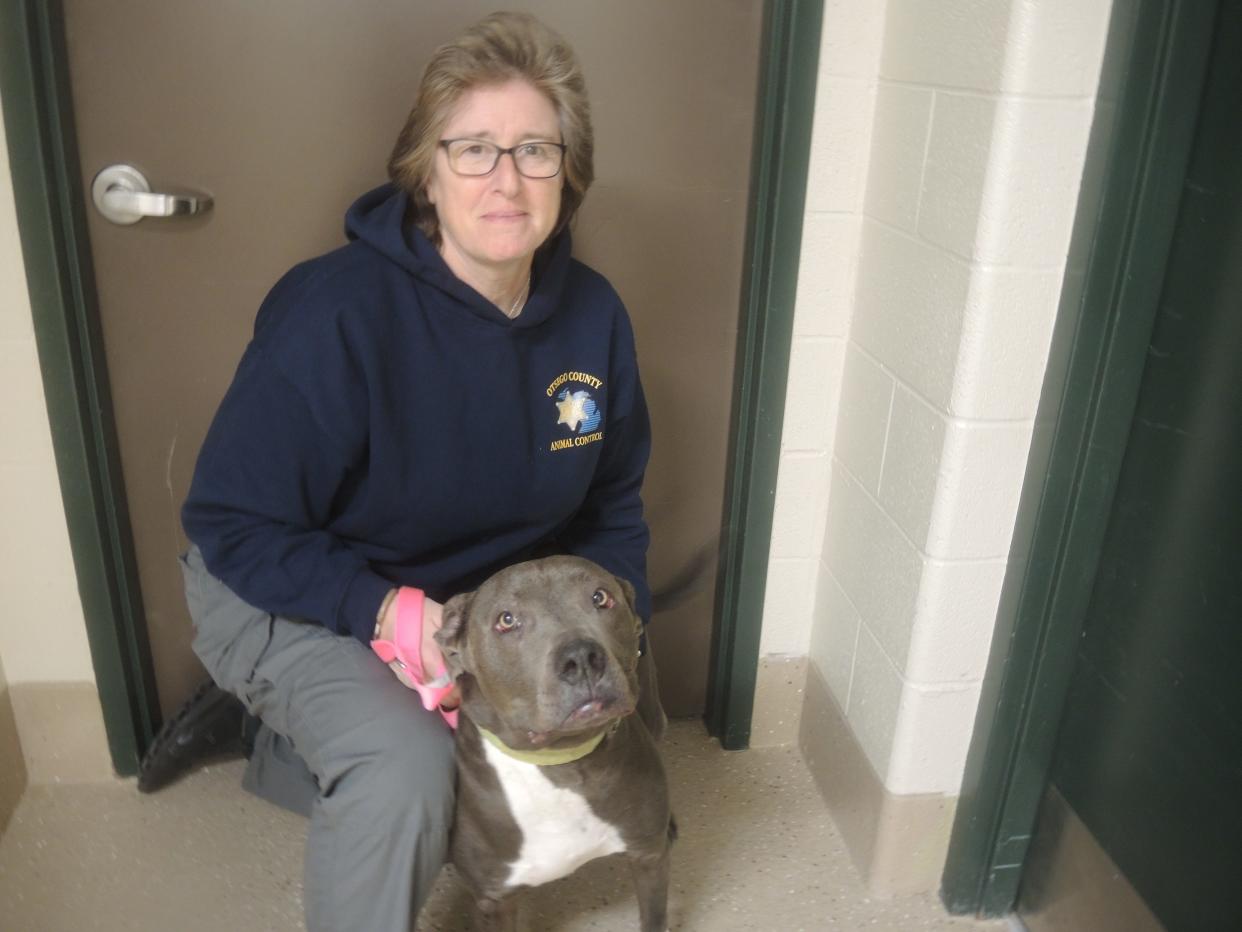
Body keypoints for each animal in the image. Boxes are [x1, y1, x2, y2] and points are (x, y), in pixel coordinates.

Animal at [434, 554, 675, 932]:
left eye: (600, 598)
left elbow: (654, 916)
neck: (561, 763)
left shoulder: (648, 855)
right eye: (506, 620)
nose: (581, 658)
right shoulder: (495, 901)